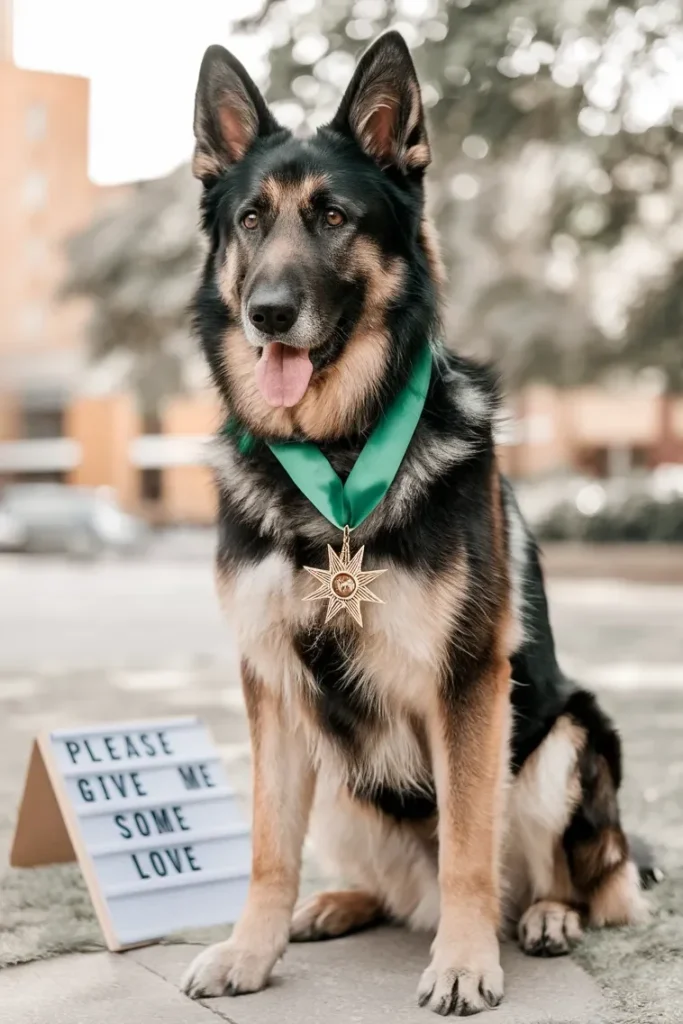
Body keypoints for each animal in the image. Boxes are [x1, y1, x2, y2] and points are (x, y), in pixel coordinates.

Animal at [184, 32, 651, 1015]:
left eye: (332, 216)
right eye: (251, 220)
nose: (267, 314)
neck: (337, 447)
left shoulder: (467, 680)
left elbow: (469, 845)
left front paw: (465, 962)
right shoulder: (272, 684)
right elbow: (267, 847)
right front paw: (251, 950)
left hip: (565, 739)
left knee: (584, 878)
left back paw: (547, 917)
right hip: (336, 768)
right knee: (388, 882)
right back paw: (339, 903)